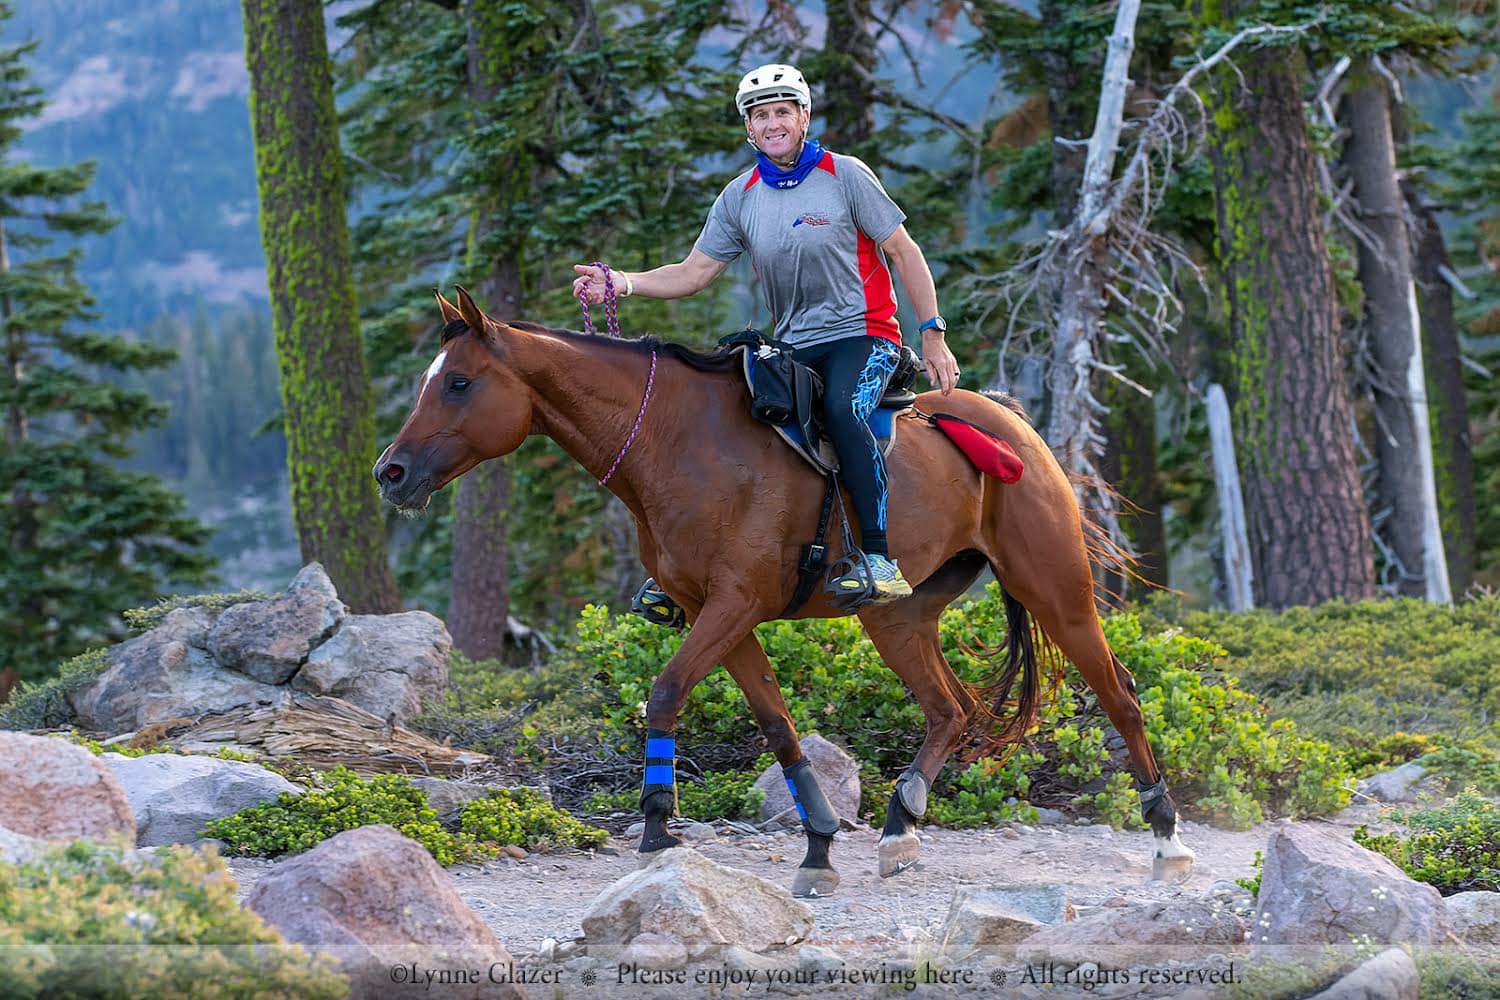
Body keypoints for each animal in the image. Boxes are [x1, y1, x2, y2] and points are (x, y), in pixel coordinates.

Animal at [375, 287, 1194, 893]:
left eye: (458, 383)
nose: (391, 473)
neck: (674, 443)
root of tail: (1011, 421)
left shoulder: (733, 606)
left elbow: (665, 693)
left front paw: (656, 827)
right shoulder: (715, 614)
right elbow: (777, 725)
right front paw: (820, 846)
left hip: (1056, 588)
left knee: (1120, 694)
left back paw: (1166, 836)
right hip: (898, 620)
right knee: (951, 709)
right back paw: (900, 826)